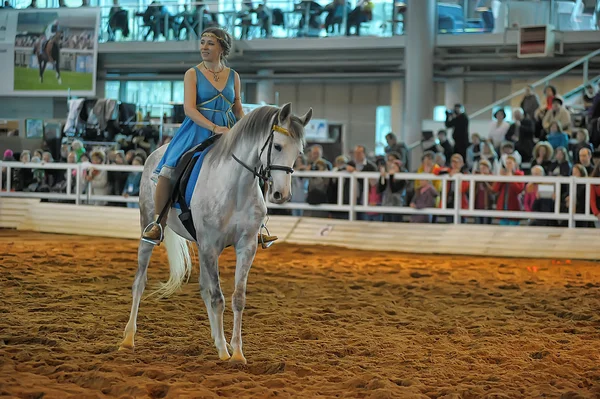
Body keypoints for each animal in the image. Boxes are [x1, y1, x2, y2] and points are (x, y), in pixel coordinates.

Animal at [119, 103, 312, 366]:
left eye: (299, 152)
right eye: (278, 146)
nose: (282, 195)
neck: (236, 187)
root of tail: (156, 153)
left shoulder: (246, 246)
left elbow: (237, 298)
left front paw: (237, 352)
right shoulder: (211, 245)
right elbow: (217, 298)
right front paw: (223, 352)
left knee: (203, 288)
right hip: (148, 229)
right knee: (140, 282)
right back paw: (128, 339)